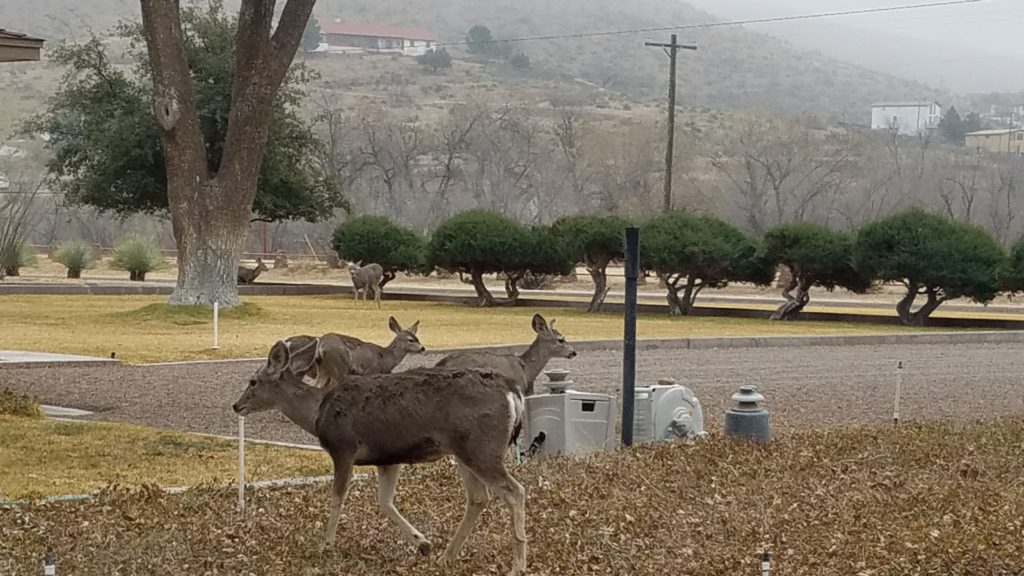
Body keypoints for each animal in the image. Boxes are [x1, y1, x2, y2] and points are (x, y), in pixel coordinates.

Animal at [232, 339, 529, 576]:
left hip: (482, 448)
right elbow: (385, 501)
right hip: (464, 450)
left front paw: (325, 545)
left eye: (253, 382)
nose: (237, 405)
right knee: (479, 497)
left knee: (515, 491)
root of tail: (513, 392)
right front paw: (423, 544)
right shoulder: (389, 457)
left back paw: (517, 565)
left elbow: (337, 497)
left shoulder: (344, 447)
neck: (317, 413)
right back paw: (446, 557)